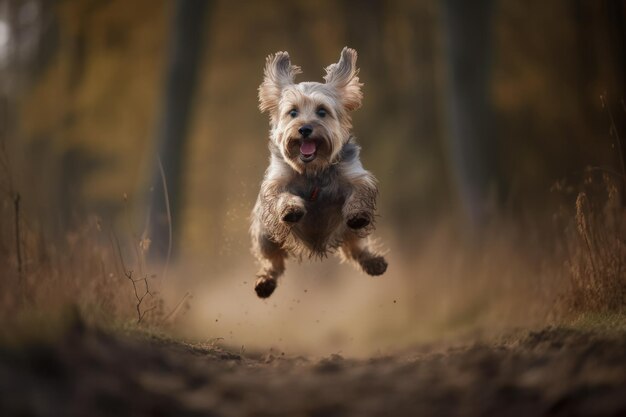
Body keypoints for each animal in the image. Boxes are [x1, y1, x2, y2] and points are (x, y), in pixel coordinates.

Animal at [249, 47, 386, 298]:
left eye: (322, 112)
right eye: (293, 112)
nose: (304, 129)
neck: (312, 171)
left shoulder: (354, 174)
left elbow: (359, 190)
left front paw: (358, 213)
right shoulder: (276, 183)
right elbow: (281, 196)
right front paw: (291, 209)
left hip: (348, 232)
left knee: (355, 247)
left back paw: (373, 262)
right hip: (265, 235)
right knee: (273, 260)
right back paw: (265, 282)